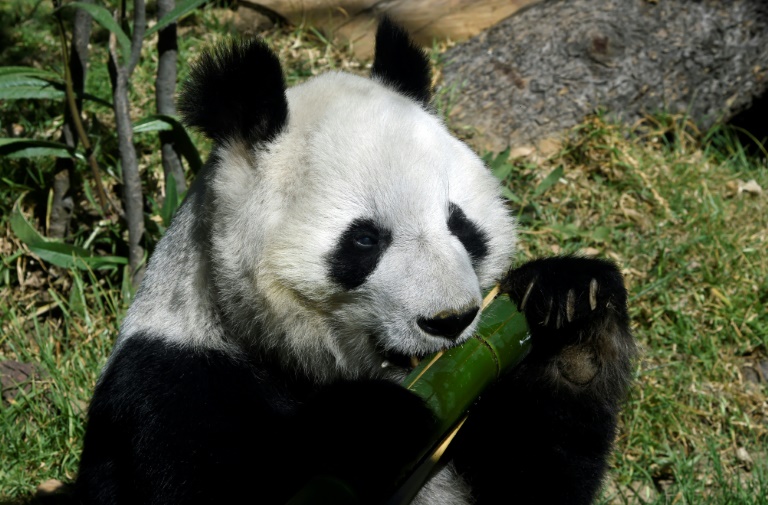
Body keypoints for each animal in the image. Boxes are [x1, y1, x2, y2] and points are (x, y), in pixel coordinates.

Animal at [73, 16, 636, 504]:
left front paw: (572, 309)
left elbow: (535, 480)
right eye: (365, 240)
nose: (449, 320)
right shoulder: (173, 383)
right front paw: (373, 422)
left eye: (459, 224)